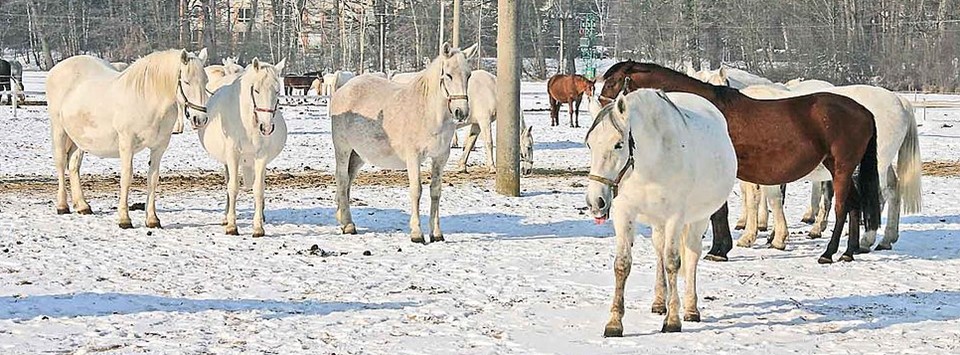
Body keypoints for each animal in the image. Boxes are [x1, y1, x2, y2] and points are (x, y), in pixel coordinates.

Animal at [46, 48, 208, 229]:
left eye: (206, 81)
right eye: (186, 82)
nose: (200, 119)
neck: (147, 98)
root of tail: (56, 69)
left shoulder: (159, 148)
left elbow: (153, 179)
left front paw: (152, 219)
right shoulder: (127, 144)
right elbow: (126, 178)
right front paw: (124, 219)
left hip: (79, 138)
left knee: (74, 166)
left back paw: (83, 206)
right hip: (59, 130)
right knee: (61, 164)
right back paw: (62, 206)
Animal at [195, 58, 284, 238]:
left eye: (277, 91)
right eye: (256, 90)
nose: (266, 127)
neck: (247, 123)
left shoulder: (261, 157)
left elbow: (258, 188)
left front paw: (258, 227)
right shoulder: (232, 155)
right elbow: (233, 187)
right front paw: (231, 226)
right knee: (229, 182)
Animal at [332, 43, 478, 245]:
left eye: (469, 75)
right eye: (448, 75)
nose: (461, 112)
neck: (429, 113)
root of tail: (343, 89)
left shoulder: (440, 158)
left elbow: (435, 191)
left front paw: (436, 234)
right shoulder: (413, 157)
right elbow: (417, 190)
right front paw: (417, 233)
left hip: (358, 154)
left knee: (348, 181)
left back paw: (342, 219)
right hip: (343, 148)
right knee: (342, 178)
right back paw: (348, 225)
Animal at [580, 89, 740, 336]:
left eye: (618, 144)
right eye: (589, 145)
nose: (595, 201)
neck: (649, 163)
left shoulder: (675, 217)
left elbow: (673, 262)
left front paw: (673, 320)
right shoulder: (624, 213)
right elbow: (622, 264)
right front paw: (615, 323)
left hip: (698, 219)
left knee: (691, 255)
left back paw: (691, 309)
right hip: (658, 221)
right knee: (659, 251)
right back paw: (658, 302)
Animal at [604, 62, 880, 266]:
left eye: (612, 82)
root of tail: (865, 111)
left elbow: (719, 212)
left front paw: (719, 249)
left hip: (842, 168)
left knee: (843, 207)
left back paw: (829, 253)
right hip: (838, 169)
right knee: (854, 205)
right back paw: (848, 252)